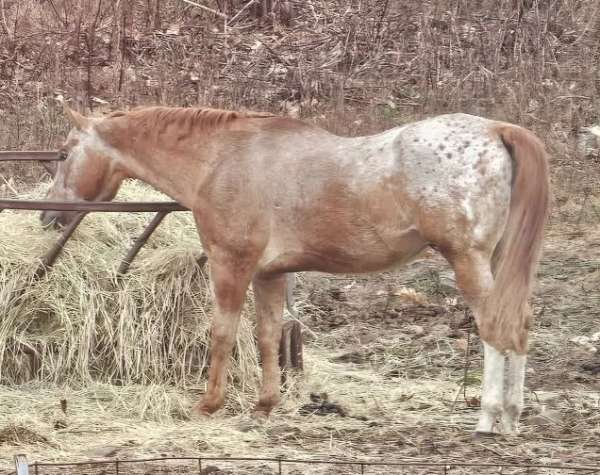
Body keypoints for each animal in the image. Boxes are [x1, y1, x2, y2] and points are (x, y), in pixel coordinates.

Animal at [41, 104, 548, 436]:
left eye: (65, 153)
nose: (47, 215)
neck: (222, 158)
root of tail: (497, 129)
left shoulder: (231, 264)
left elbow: (223, 332)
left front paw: (209, 404)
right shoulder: (269, 274)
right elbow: (266, 336)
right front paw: (264, 406)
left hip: (468, 262)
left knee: (494, 329)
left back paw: (488, 417)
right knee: (518, 326)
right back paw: (512, 417)